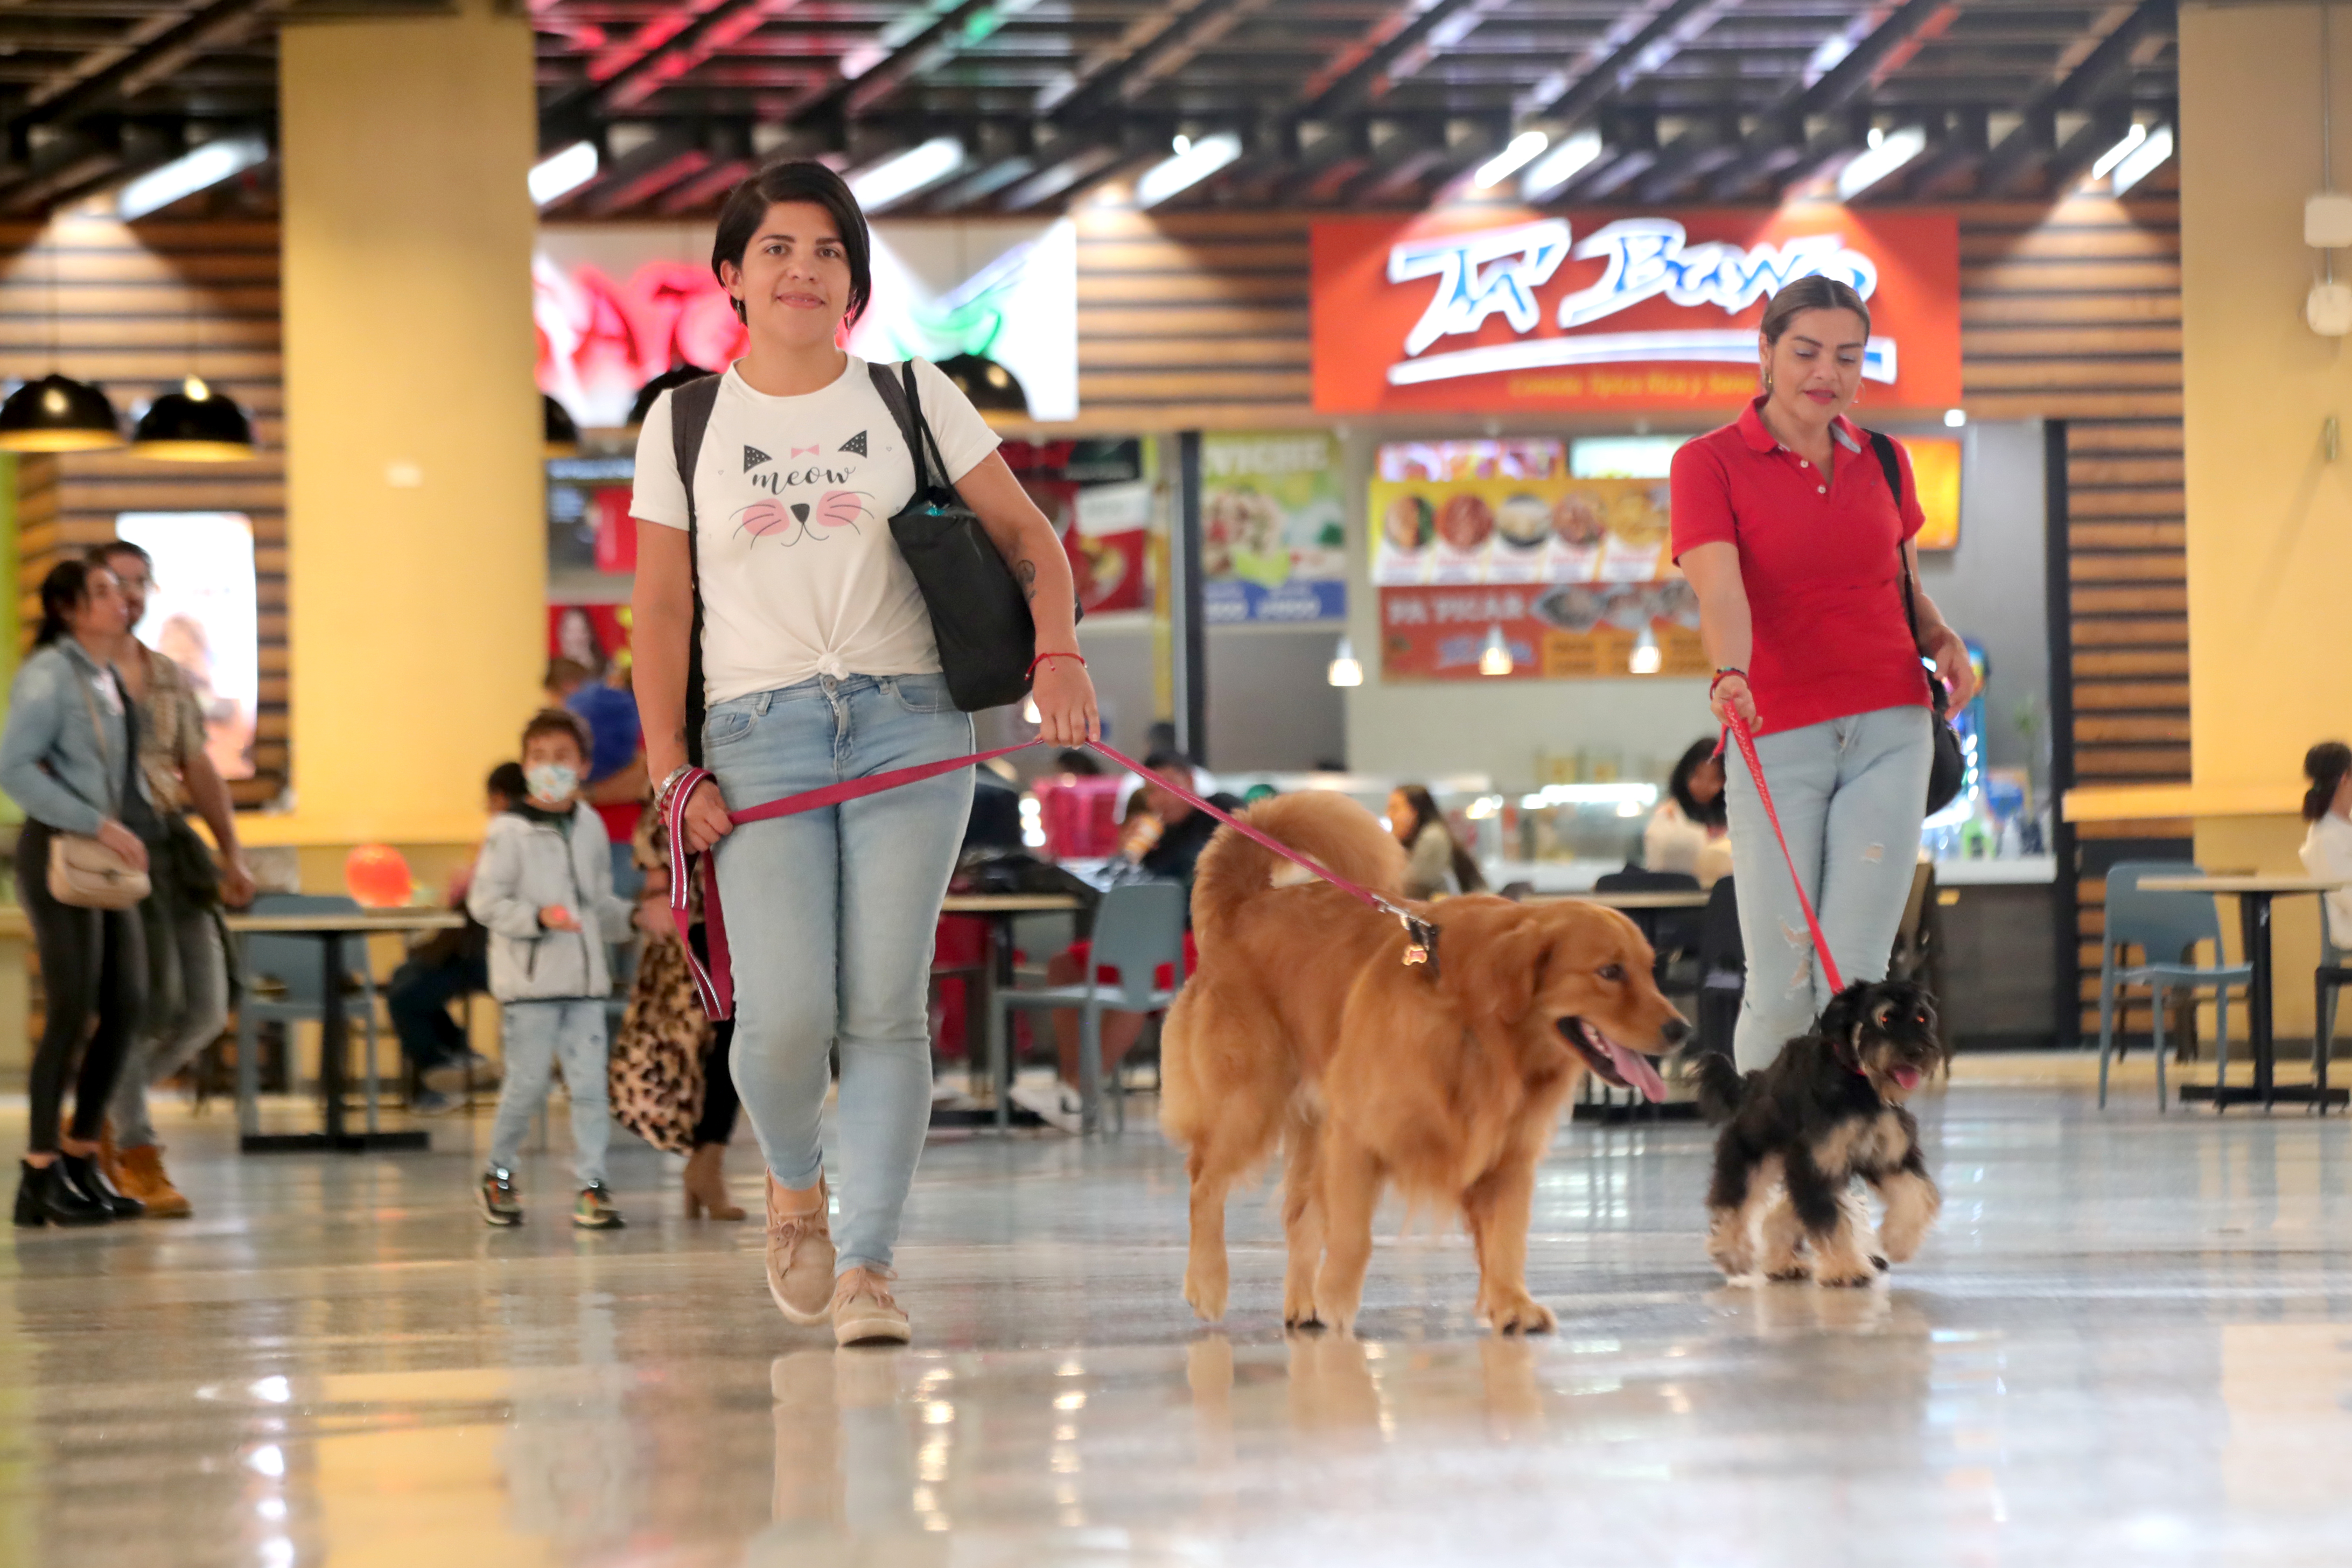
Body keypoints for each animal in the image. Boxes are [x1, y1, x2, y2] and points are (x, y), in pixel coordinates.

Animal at [1161, 799, 1693, 1335]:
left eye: (1651, 970)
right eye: (1610, 972)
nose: (1682, 1030)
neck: (1480, 1029)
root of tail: (1244, 905)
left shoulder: (1508, 1156)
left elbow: (1506, 1240)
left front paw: (1511, 1303)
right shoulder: (1356, 1136)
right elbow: (1353, 1237)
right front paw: (1338, 1300)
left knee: (1297, 1213)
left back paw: (1302, 1302)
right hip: (1249, 1104)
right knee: (1203, 1185)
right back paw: (1208, 1283)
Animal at [1693, 982, 1947, 1288]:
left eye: (1921, 1018)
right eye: (1885, 1018)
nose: (1916, 1052)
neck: (1860, 1087)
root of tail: (1754, 1082)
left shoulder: (1888, 1158)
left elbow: (1919, 1195)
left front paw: (1898, 1242)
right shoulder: (1815, 1163)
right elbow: (1830, 1221)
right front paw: (1846, 1269)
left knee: (1779, 1213)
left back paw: (1783, 1263)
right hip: (1752, 1149)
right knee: (1732, 1202)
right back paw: (1731, 1253)